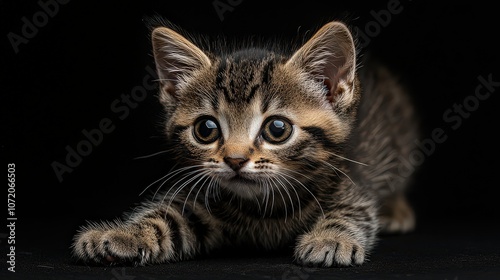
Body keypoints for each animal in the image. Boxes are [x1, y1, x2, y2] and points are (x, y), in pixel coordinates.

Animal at [70, 20, 418, 266]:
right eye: (206, 129)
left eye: (277, 128)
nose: (235, 160)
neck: (266, 209)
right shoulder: (202, 203)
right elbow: (166, 219)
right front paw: (121, 234)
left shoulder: (350, 182)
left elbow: (351, 210)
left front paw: (329, 239)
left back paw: (396, 210)